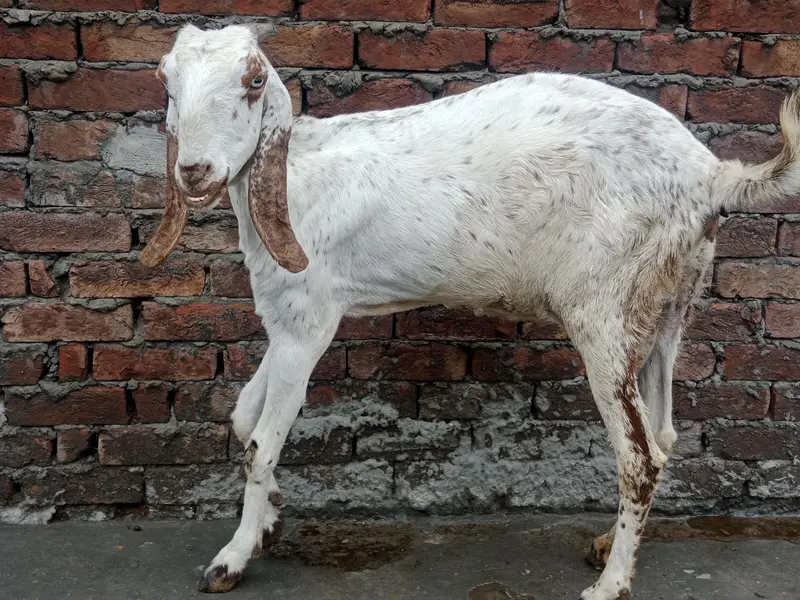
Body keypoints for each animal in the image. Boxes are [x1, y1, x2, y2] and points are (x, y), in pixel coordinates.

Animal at [140, 23, 800, 599]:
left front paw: (230, 559)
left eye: (254, 82)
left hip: (607, 311)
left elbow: (260, 443)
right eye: (166, 81)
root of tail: (712, 175)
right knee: (663, 434)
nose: (194, 170)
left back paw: (611, 584)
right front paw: (272, 520)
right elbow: (242, 419)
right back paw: (607, 545)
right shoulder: (283, 324)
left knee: (639, 455)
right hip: (667, 303)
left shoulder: (308, 321)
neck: (292, 177)